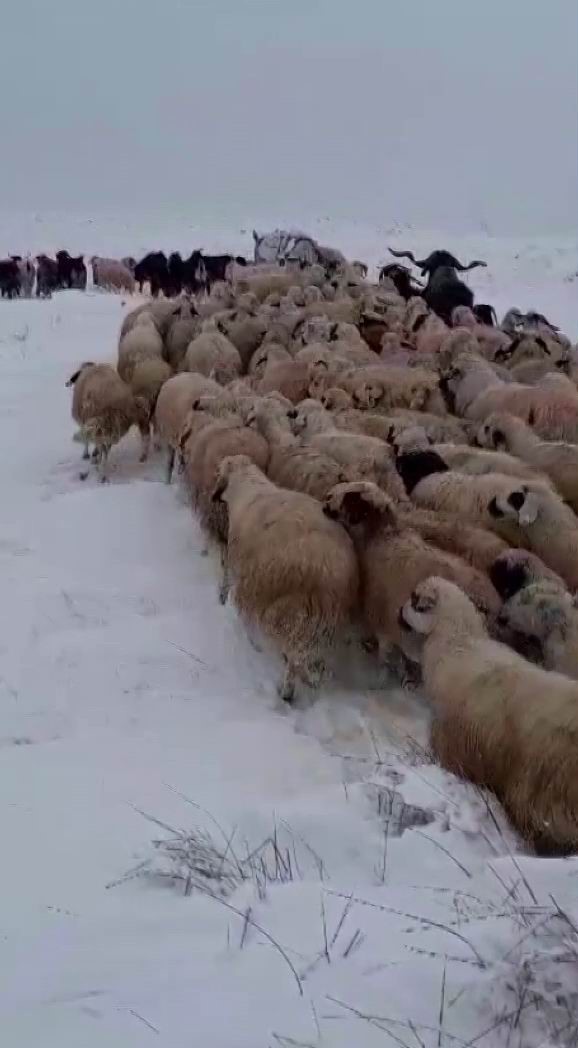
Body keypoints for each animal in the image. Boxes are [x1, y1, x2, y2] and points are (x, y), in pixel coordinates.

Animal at [210, 454, 358, 700]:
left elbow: (227, 584)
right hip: (322, 624)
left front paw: (221, 602)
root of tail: (327, 571)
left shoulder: (239, 569)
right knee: (307, 660)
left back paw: (285, 690)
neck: (247, 490)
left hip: (282, 610)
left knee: (293, 658)